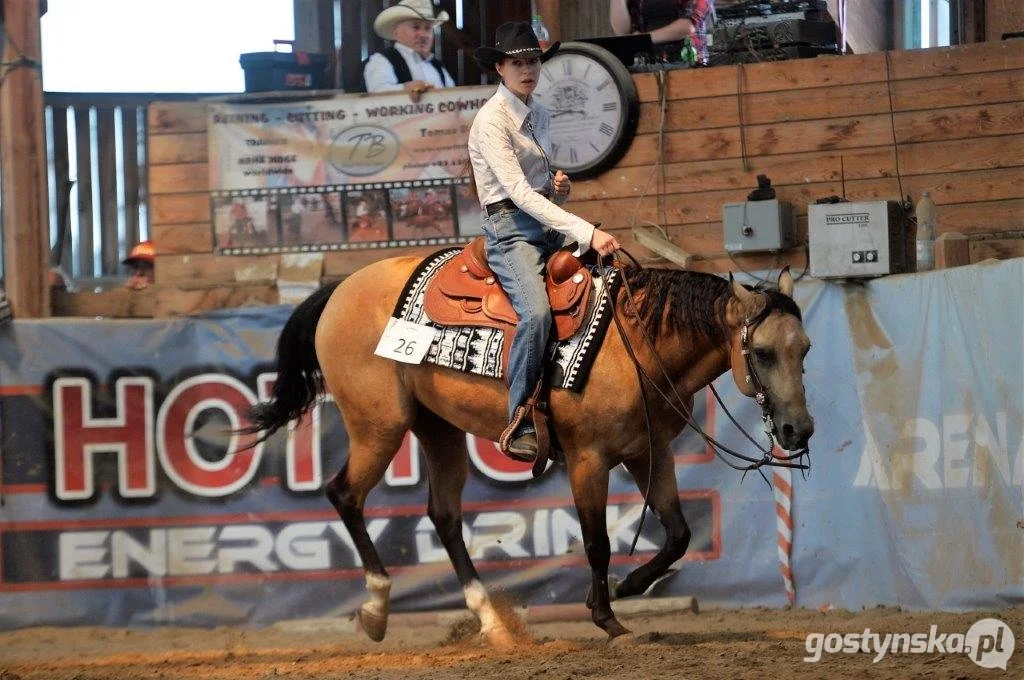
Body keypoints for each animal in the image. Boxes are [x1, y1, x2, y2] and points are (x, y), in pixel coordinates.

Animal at [243, 248, 811, 643]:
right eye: (762, 352)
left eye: (804, 349)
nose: (798, 431)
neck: (636, 341)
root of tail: (340, 289)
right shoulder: (589, 460)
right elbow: (597, 542)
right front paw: (607, 616)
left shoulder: (648, 452)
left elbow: (677, 534)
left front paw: (627, 587)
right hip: (379, 424)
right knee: (345, 495)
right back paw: (378, 608)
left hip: (438, 429)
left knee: (444, 515)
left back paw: (491, 622)